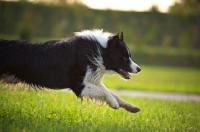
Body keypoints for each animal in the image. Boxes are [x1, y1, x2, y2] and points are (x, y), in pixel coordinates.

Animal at [0, 29, 141, 113]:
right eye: (124, 57)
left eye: (129, 56)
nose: (139, 69)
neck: (99, 51)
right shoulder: (79, 86)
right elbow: (105, 91)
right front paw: (114, 103)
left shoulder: (91, 80)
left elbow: (113, 93)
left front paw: (130, 107)